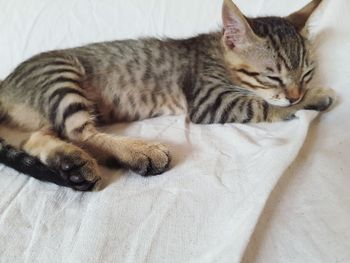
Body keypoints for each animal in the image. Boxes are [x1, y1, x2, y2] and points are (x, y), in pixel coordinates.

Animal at [0, 0, 334, 191]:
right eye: (271, 76)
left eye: (306, 73)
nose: (295, 94)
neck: (218, 54)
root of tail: (5, 83)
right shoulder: (209, 99)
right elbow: (261, 103)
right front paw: (314, 97)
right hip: (60, 75)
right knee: (76, 131)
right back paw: (139, 153)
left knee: (37, 138)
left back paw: (73, 164)